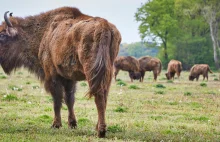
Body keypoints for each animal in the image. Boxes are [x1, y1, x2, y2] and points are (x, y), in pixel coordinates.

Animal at [0, 6, 122, 138]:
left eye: (2, 36)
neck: (44, 31)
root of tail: (104, 26)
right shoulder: (69, 78)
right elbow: (69, 99)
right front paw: (72, 124)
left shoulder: (52, 75)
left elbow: (57, 100)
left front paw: (56, 125)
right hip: (108, 72)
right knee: (104, 97)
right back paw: (98, 127)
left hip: (92, 72)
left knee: (99, 96)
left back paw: (101, 131)